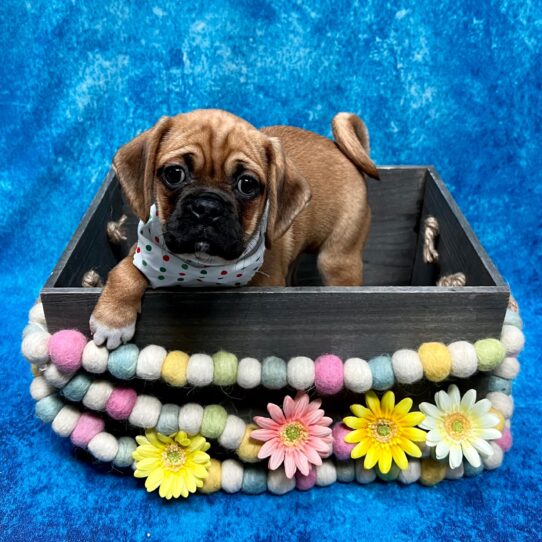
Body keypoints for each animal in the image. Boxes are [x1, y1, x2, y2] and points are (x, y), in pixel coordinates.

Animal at [89, 109, 378, 348]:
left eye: (247, 184)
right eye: (174, 174)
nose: (207, 207)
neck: (202, 269)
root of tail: (342, 151)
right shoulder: (144, 250)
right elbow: (124, 272)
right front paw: (112, 319)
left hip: (338, 259)